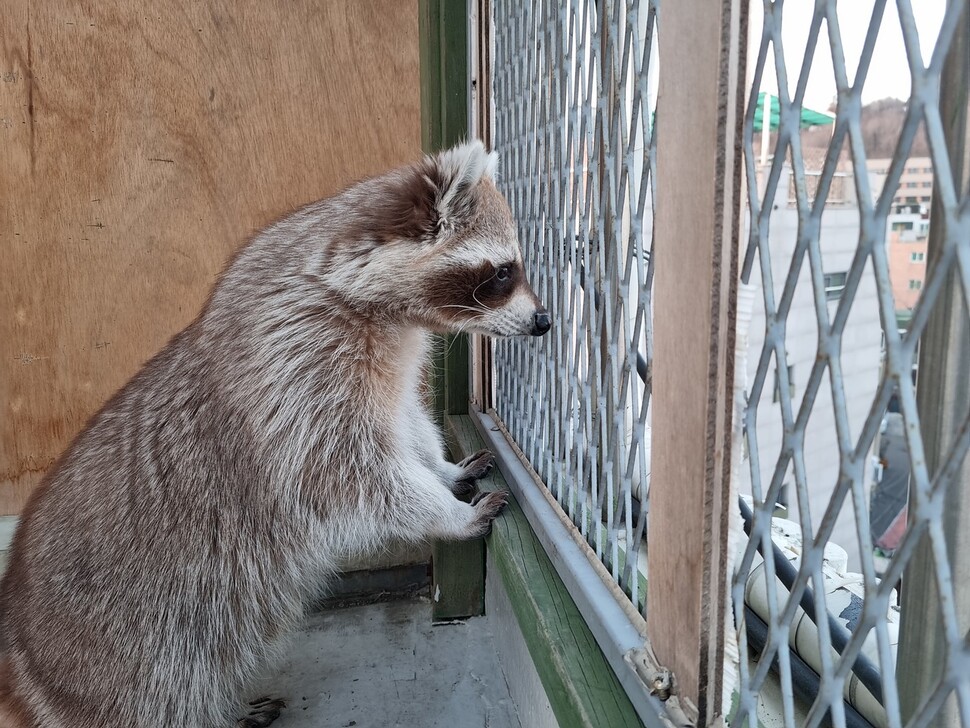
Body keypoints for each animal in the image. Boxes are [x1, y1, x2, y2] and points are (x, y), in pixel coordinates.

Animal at [0, 142, 548, 728]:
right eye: (503, 272)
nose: (544, 321)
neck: (376, 305)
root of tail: (20, 644)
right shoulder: (297, 364)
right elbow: (348, 474)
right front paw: (447, 513)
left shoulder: (380, 360)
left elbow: (405, 423)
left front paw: (439, 467)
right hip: (123, 654)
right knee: (158, 696)